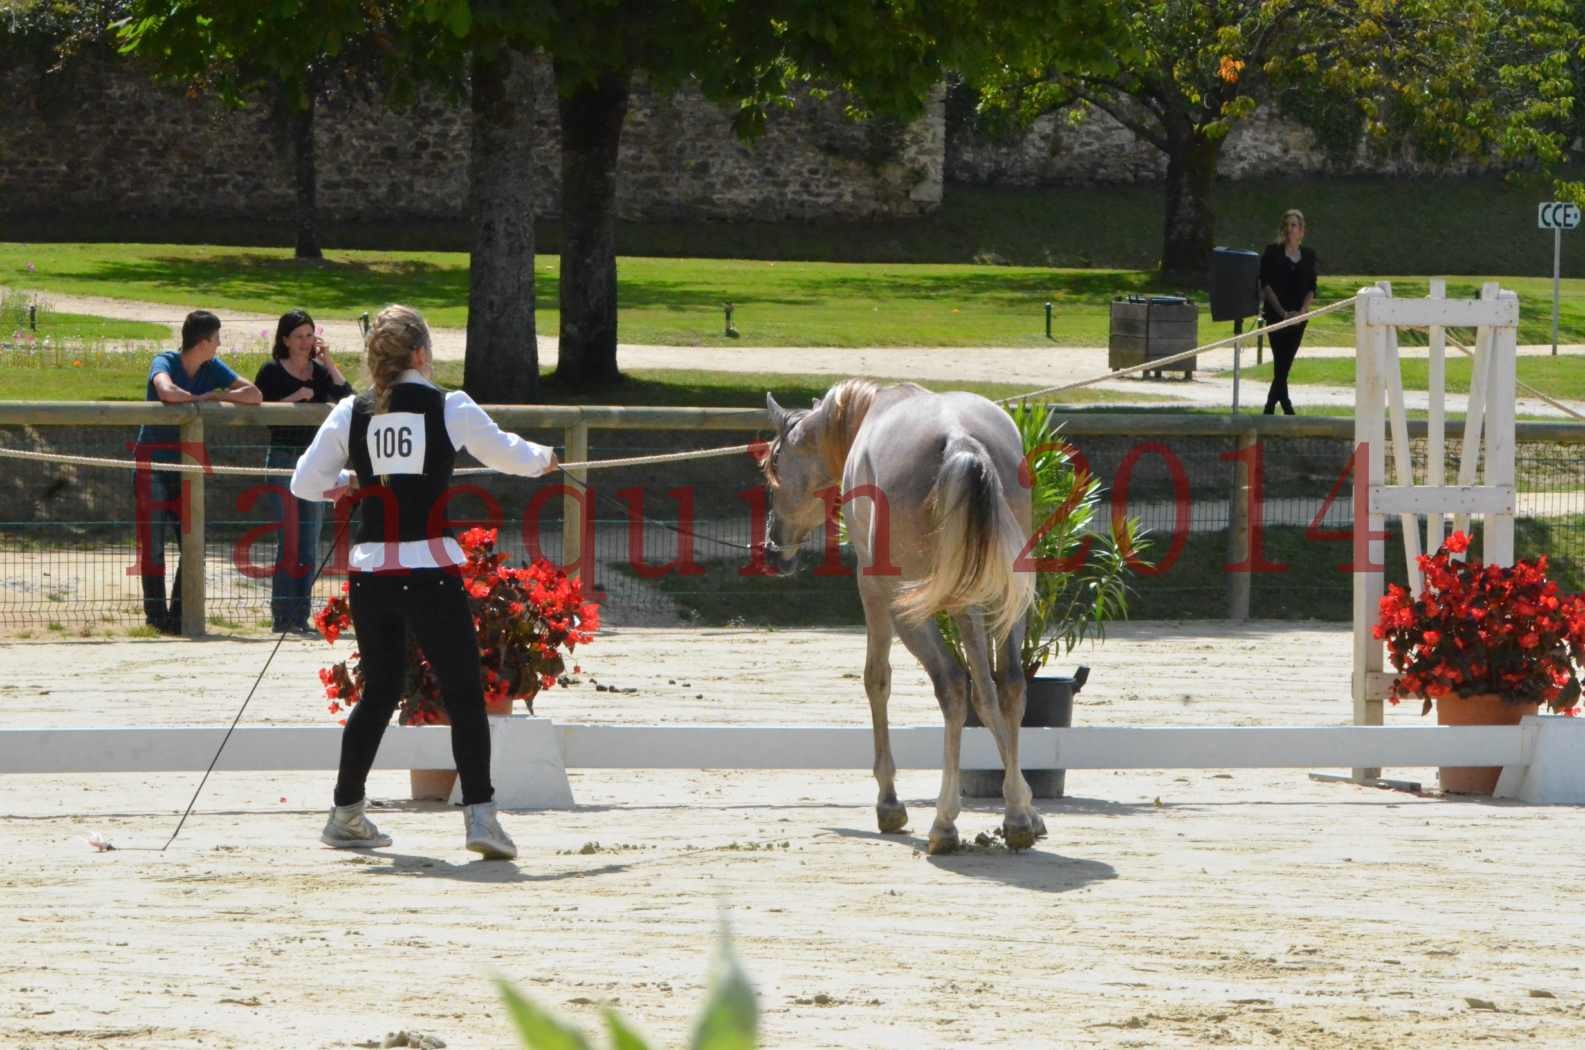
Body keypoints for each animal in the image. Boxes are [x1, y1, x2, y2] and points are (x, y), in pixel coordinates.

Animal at [763, 380, 1046, 856]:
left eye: (775, 467)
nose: (772, 546)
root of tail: (960, 440)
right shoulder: (969, 604)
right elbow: (987, 696)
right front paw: (1023, 805)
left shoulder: (874, 593)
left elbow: (877, 680)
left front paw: (889, 803)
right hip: (1003, 605)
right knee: (1008, 685)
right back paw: (1016, 821)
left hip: (908, 610)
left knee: (951, 685)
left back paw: (944, 823)